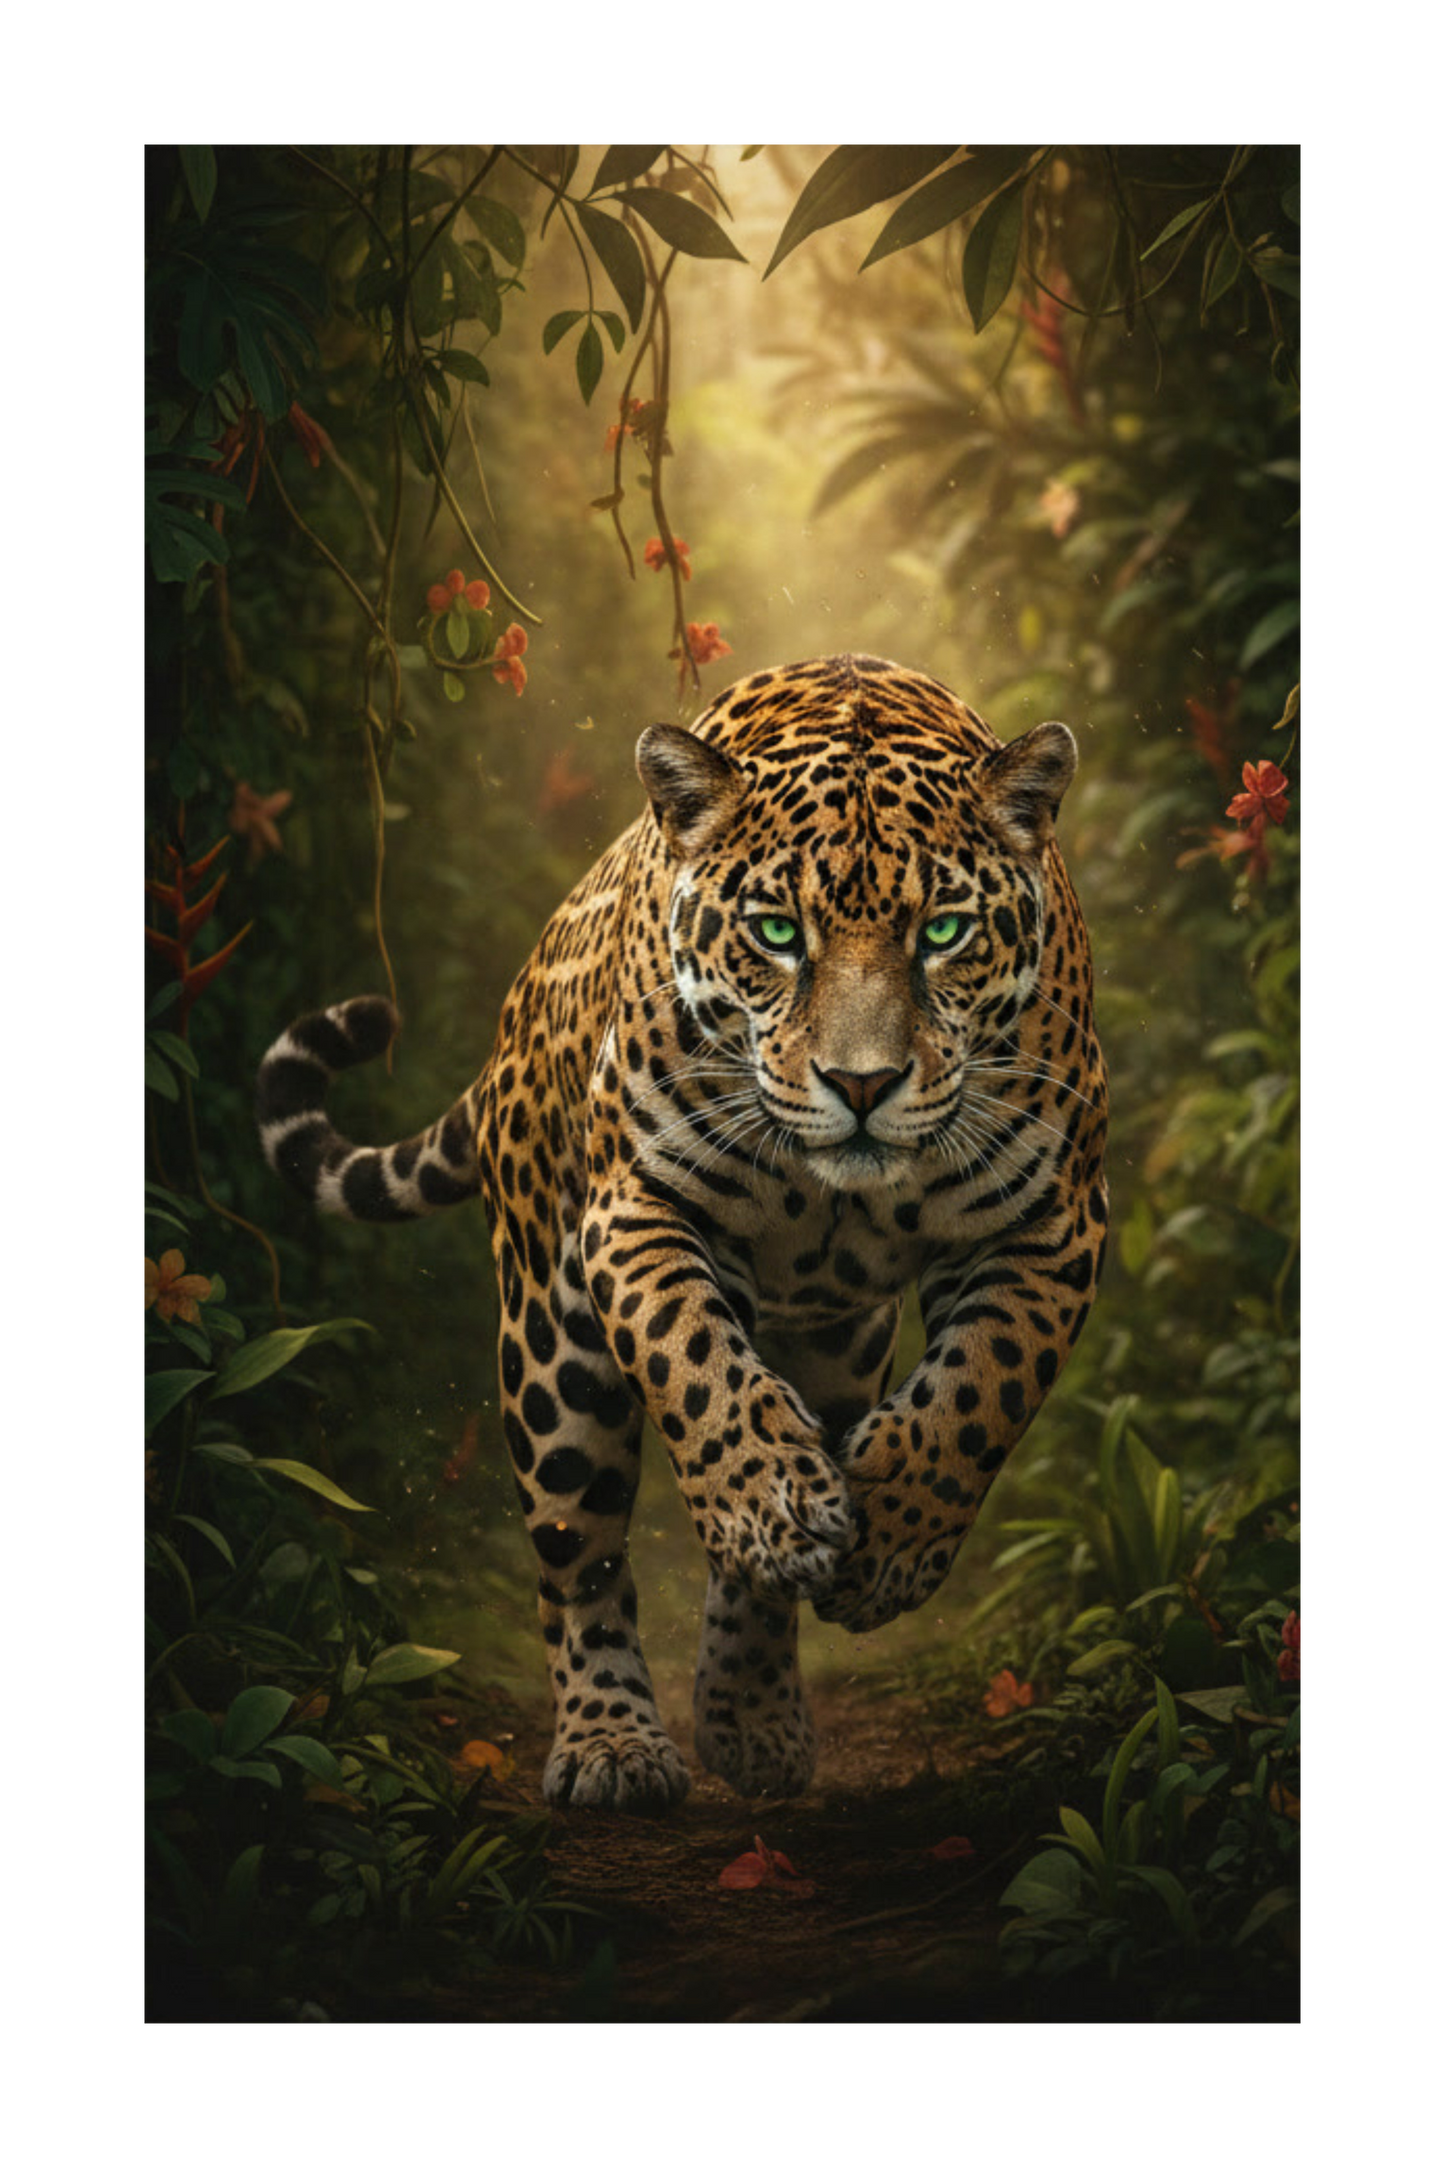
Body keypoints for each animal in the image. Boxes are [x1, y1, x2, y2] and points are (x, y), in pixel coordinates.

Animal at [257, 654, 1108, 1812]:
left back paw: (752, 1717)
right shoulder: (640, 1209)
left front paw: (886, 1541)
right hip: (551, 1341)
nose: (861, 1085)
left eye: (943, 932)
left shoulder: (1051, 1221)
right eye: (776, 932)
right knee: (577, 1553)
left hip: (835, 1345)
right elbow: (697, 1364)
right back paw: (614, 1741)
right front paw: (769, 1504)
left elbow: (979, 1389)